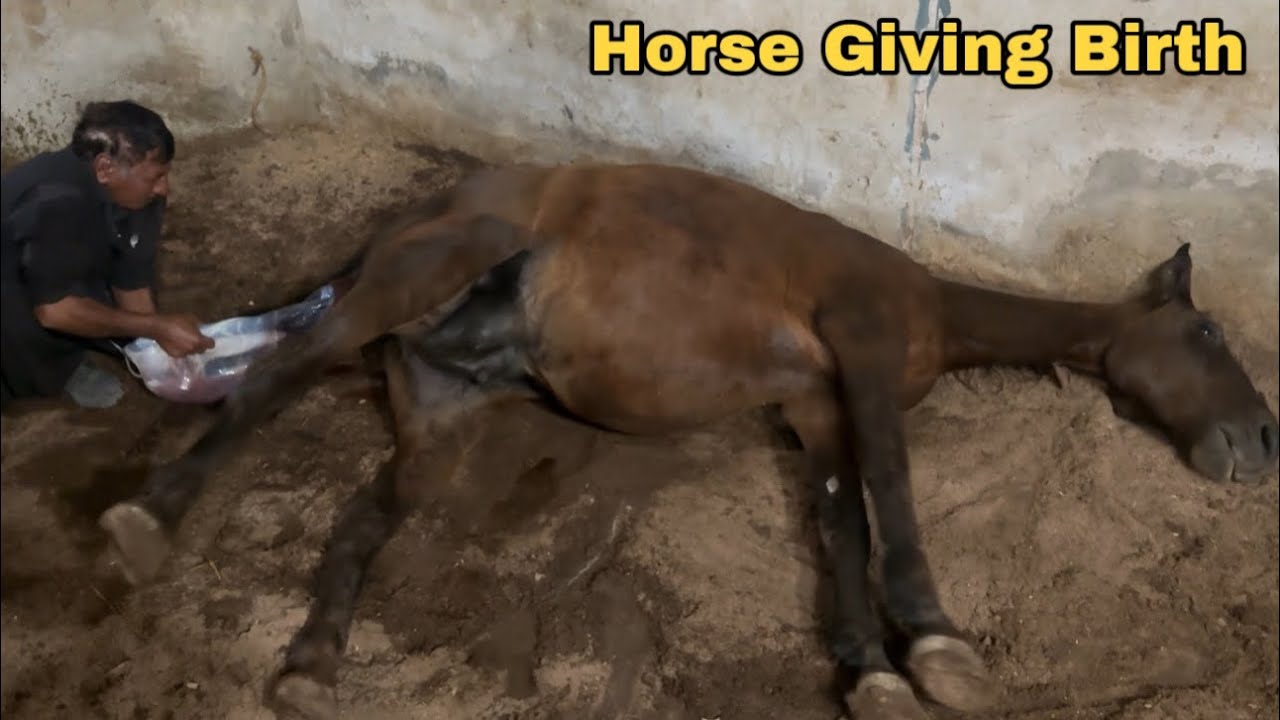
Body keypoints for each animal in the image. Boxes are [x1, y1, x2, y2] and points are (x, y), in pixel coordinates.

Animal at [96, 161, 1278, 720]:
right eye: (1207, 332)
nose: (1261, 442)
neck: (931, 305)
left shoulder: (815, 407)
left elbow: (840, 526)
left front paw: (869, 671)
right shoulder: (856, 341)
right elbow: (892, 491)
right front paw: (938, 648)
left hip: (437, 409)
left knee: (358, 519)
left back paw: (311, 663)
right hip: (416, 275)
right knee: (273, 380)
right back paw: (147, 519)